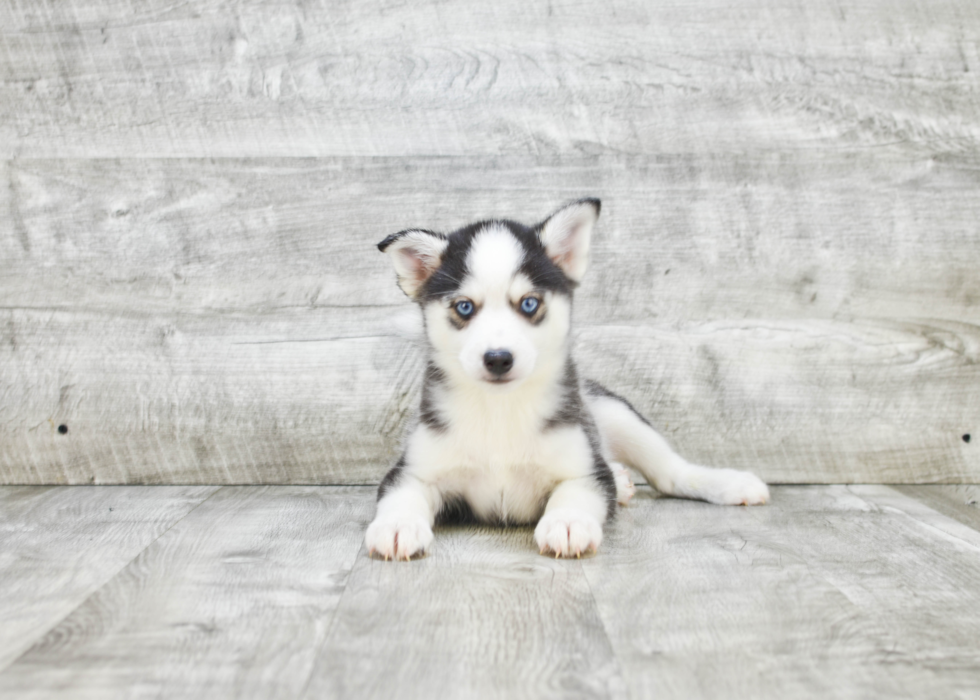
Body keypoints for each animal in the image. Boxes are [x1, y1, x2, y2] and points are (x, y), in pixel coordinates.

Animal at [364, 200, 768, 560]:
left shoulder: (583, 469)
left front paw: (568, 522)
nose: (498, 359)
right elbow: (402, 496)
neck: (501, 410)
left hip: (612, 411)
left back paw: (726, 483)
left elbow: (575, 491)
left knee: (671, 471)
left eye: (529, 304)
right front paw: (397, 526)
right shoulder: (413, 471)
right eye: (464, 307)